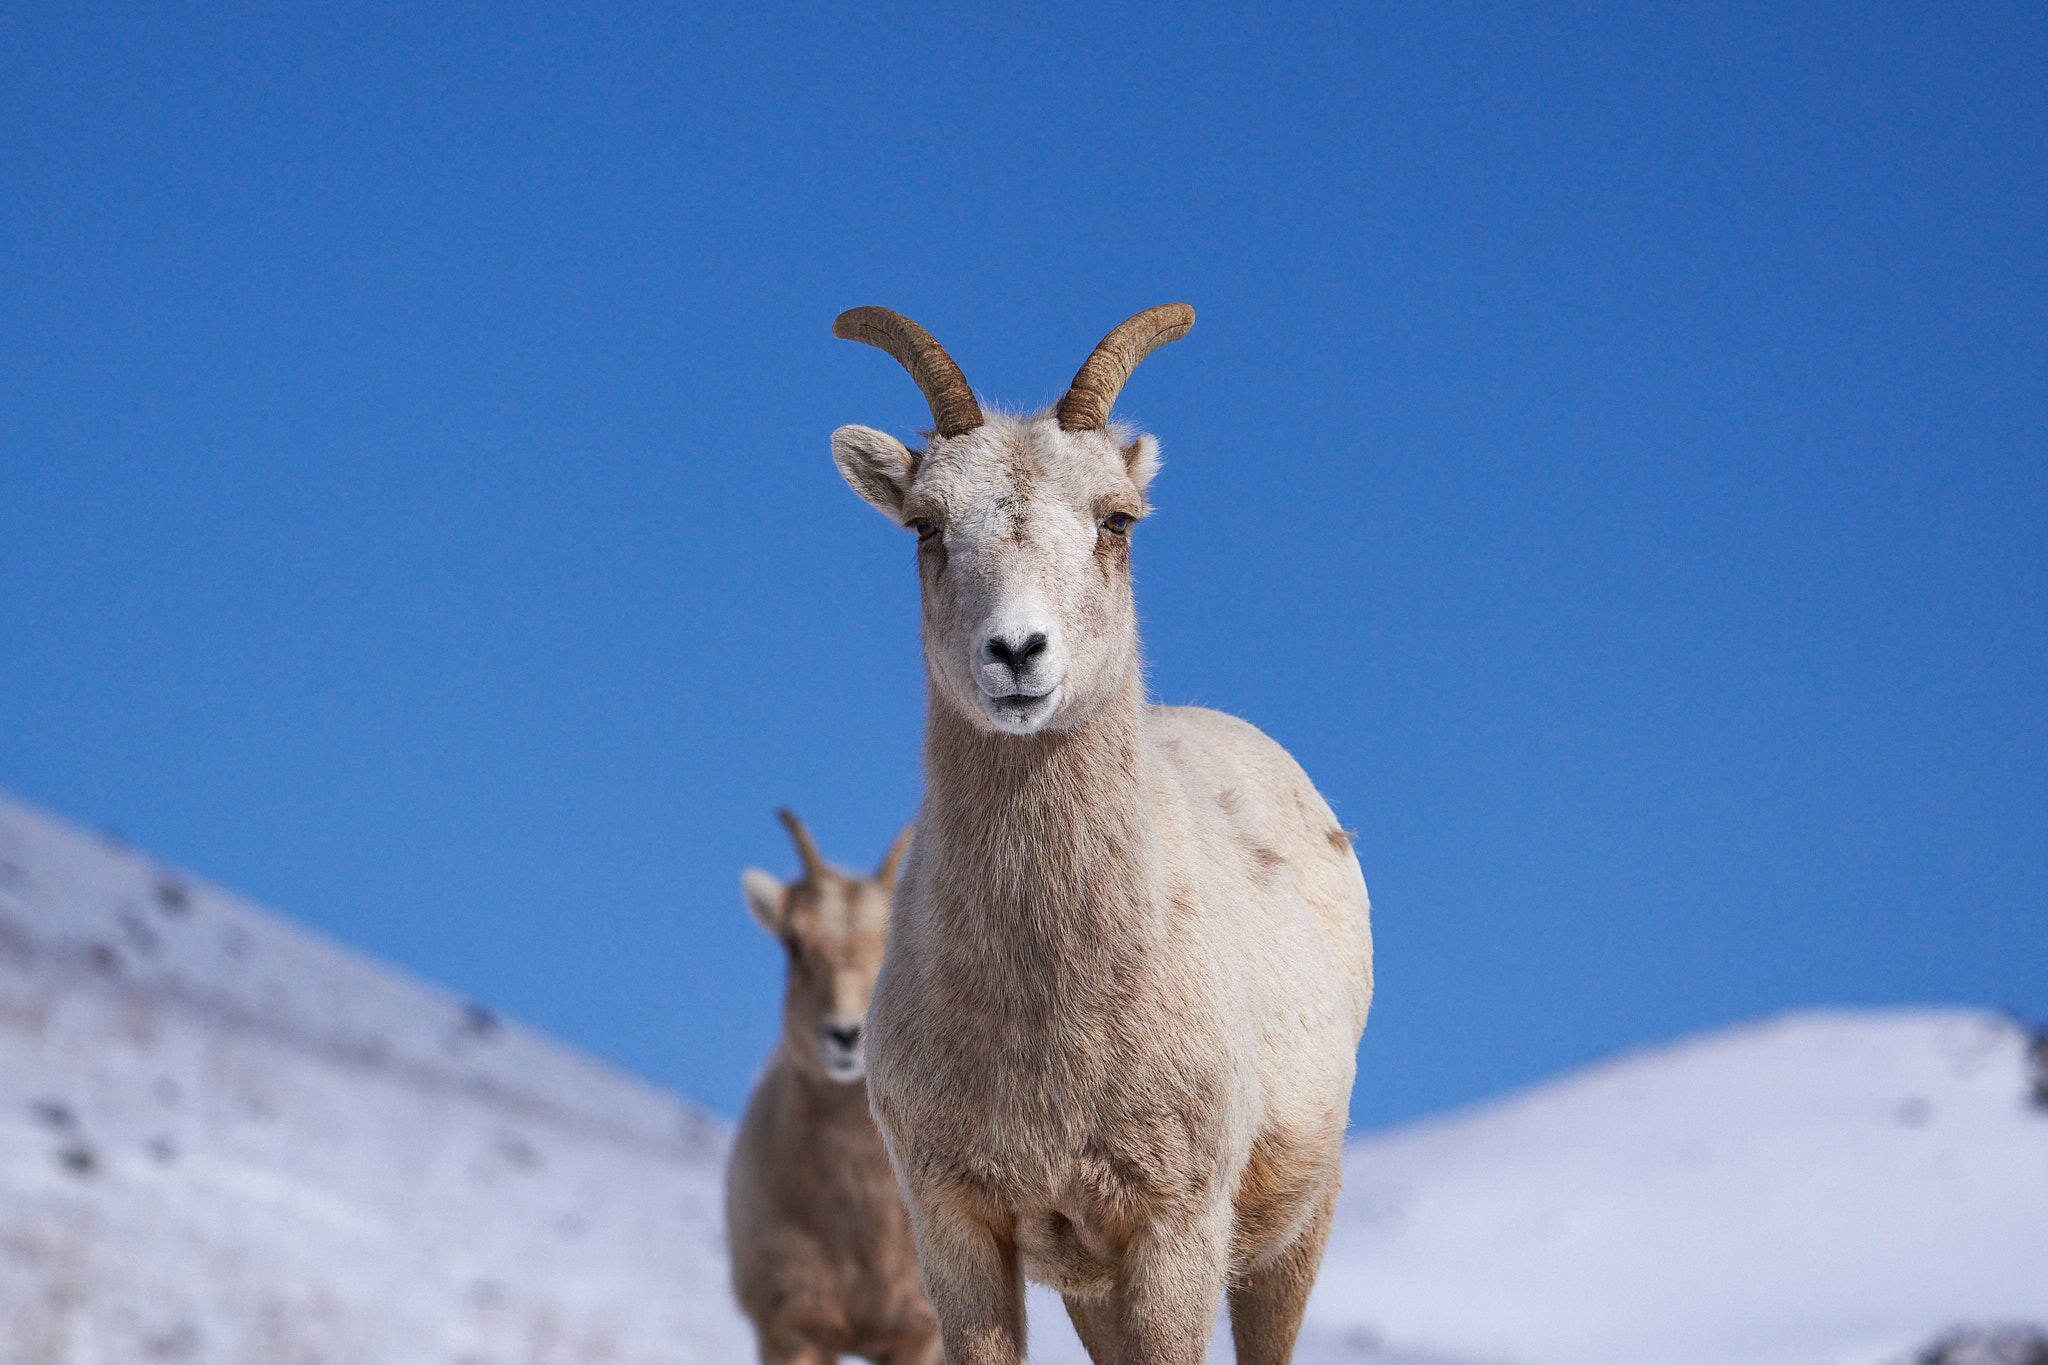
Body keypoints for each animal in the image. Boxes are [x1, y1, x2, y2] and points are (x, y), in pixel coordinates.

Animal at [827, 306, 1374, 1365]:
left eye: (1116, 520)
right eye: (925, 526)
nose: (1017, 654)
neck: (1050, 1020)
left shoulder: (1175, 1231)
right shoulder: (960, 1229)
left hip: (1296, 1228)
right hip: (1092, 1287)